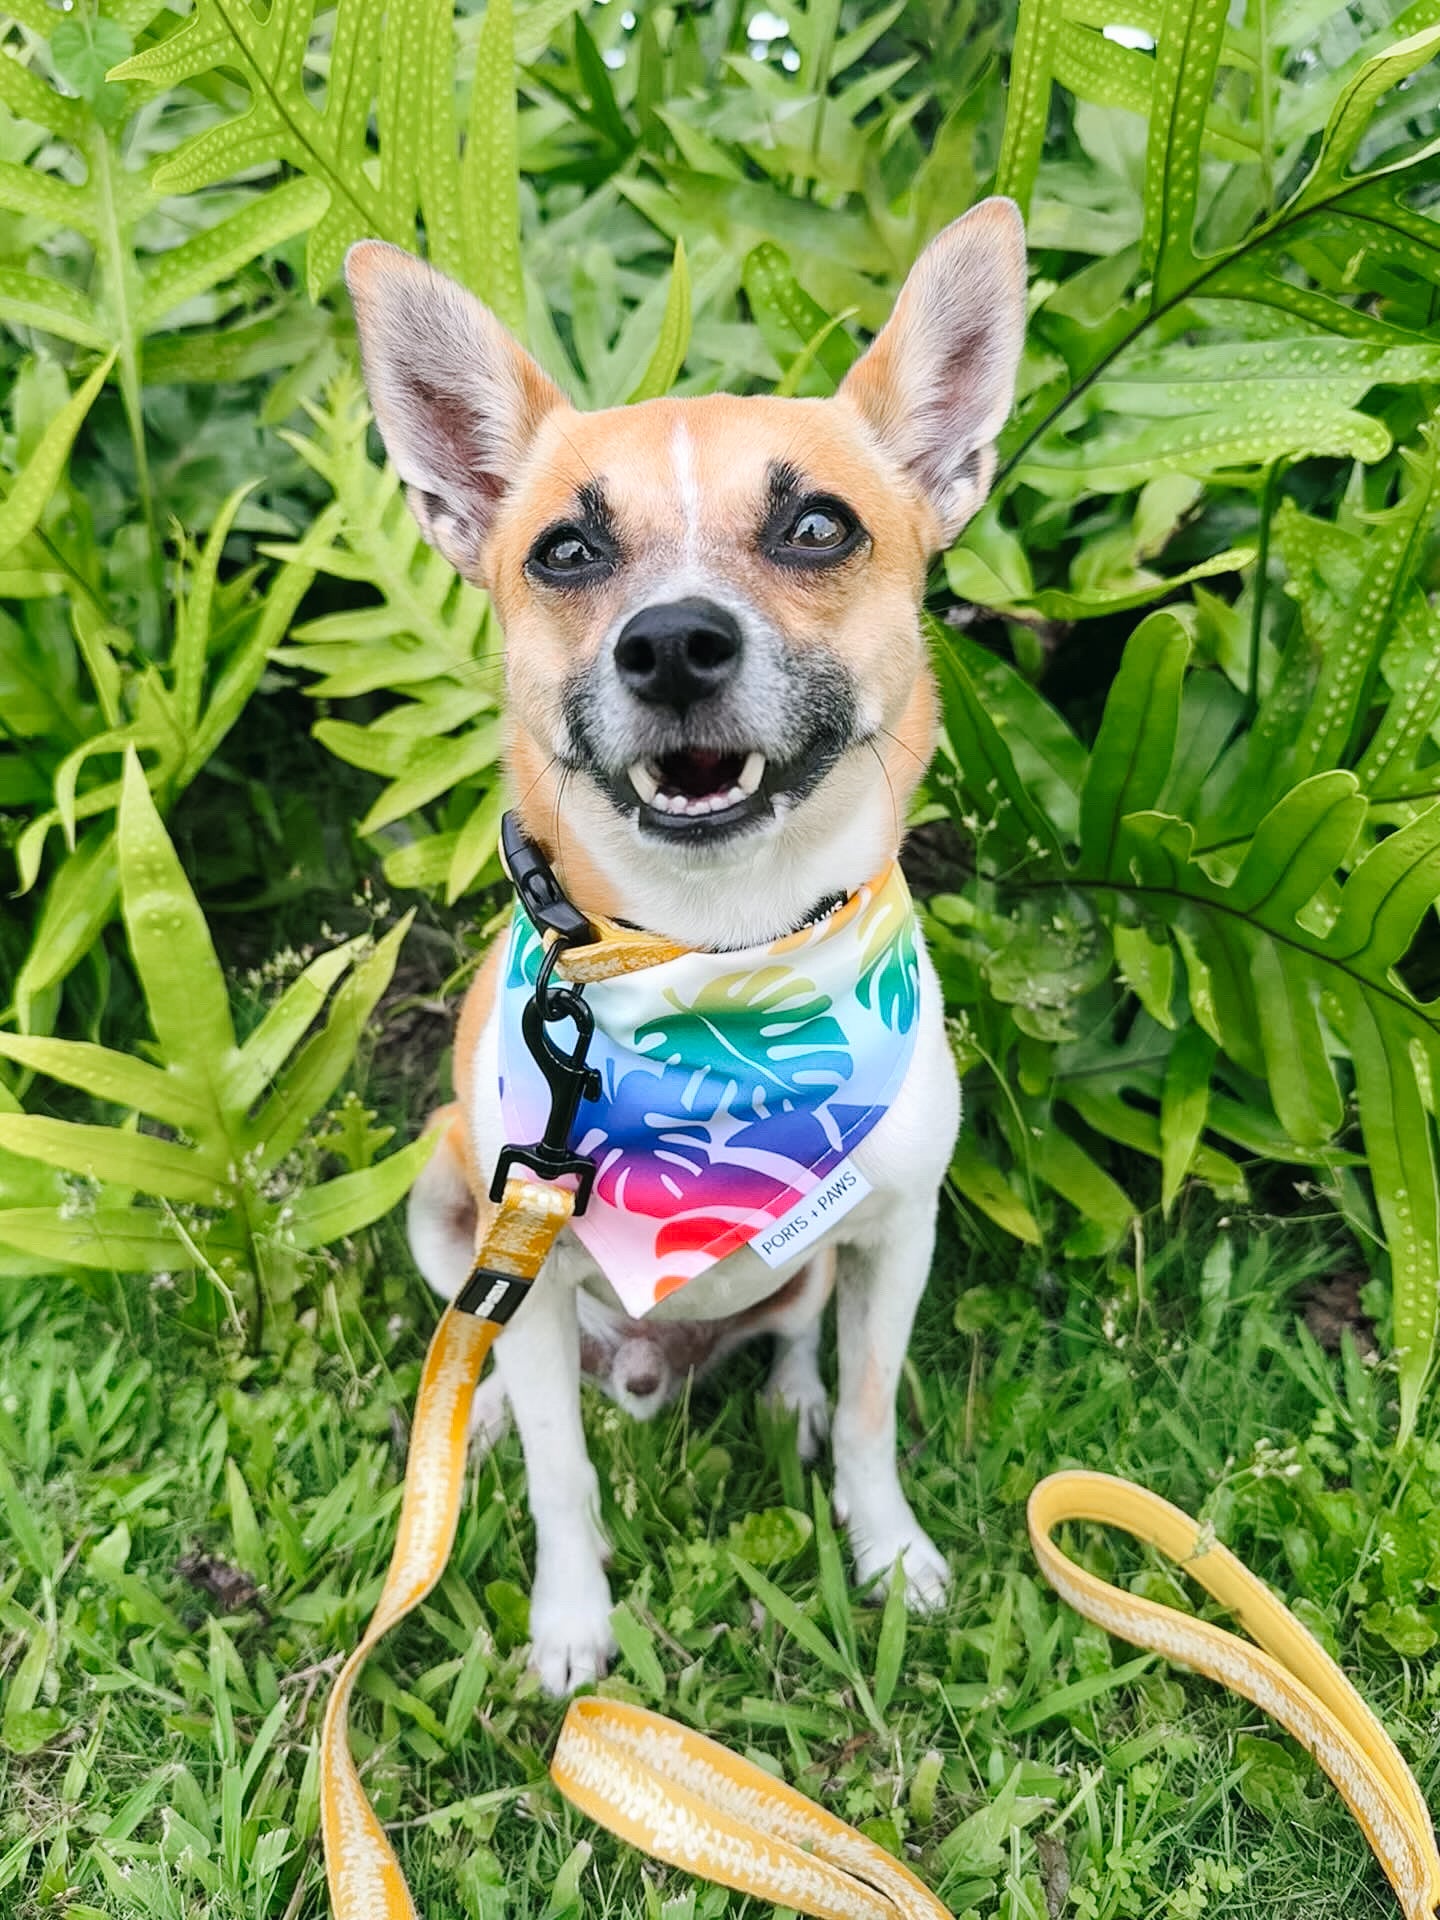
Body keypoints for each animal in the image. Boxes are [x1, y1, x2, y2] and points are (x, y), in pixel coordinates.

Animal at [347, 198, 1029, 1697]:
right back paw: (488, 1418)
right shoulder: (526, 1269)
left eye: (819, 525)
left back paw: (788, 1398)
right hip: (443, 1208)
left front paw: (888, 1551)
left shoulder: (897, 1238)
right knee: (488, 1359)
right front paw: (569, 1623)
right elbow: (561, 1477)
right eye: (565, 551)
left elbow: (876, 1410)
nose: (671, 644)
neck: (722, 970)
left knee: (795, 1338)